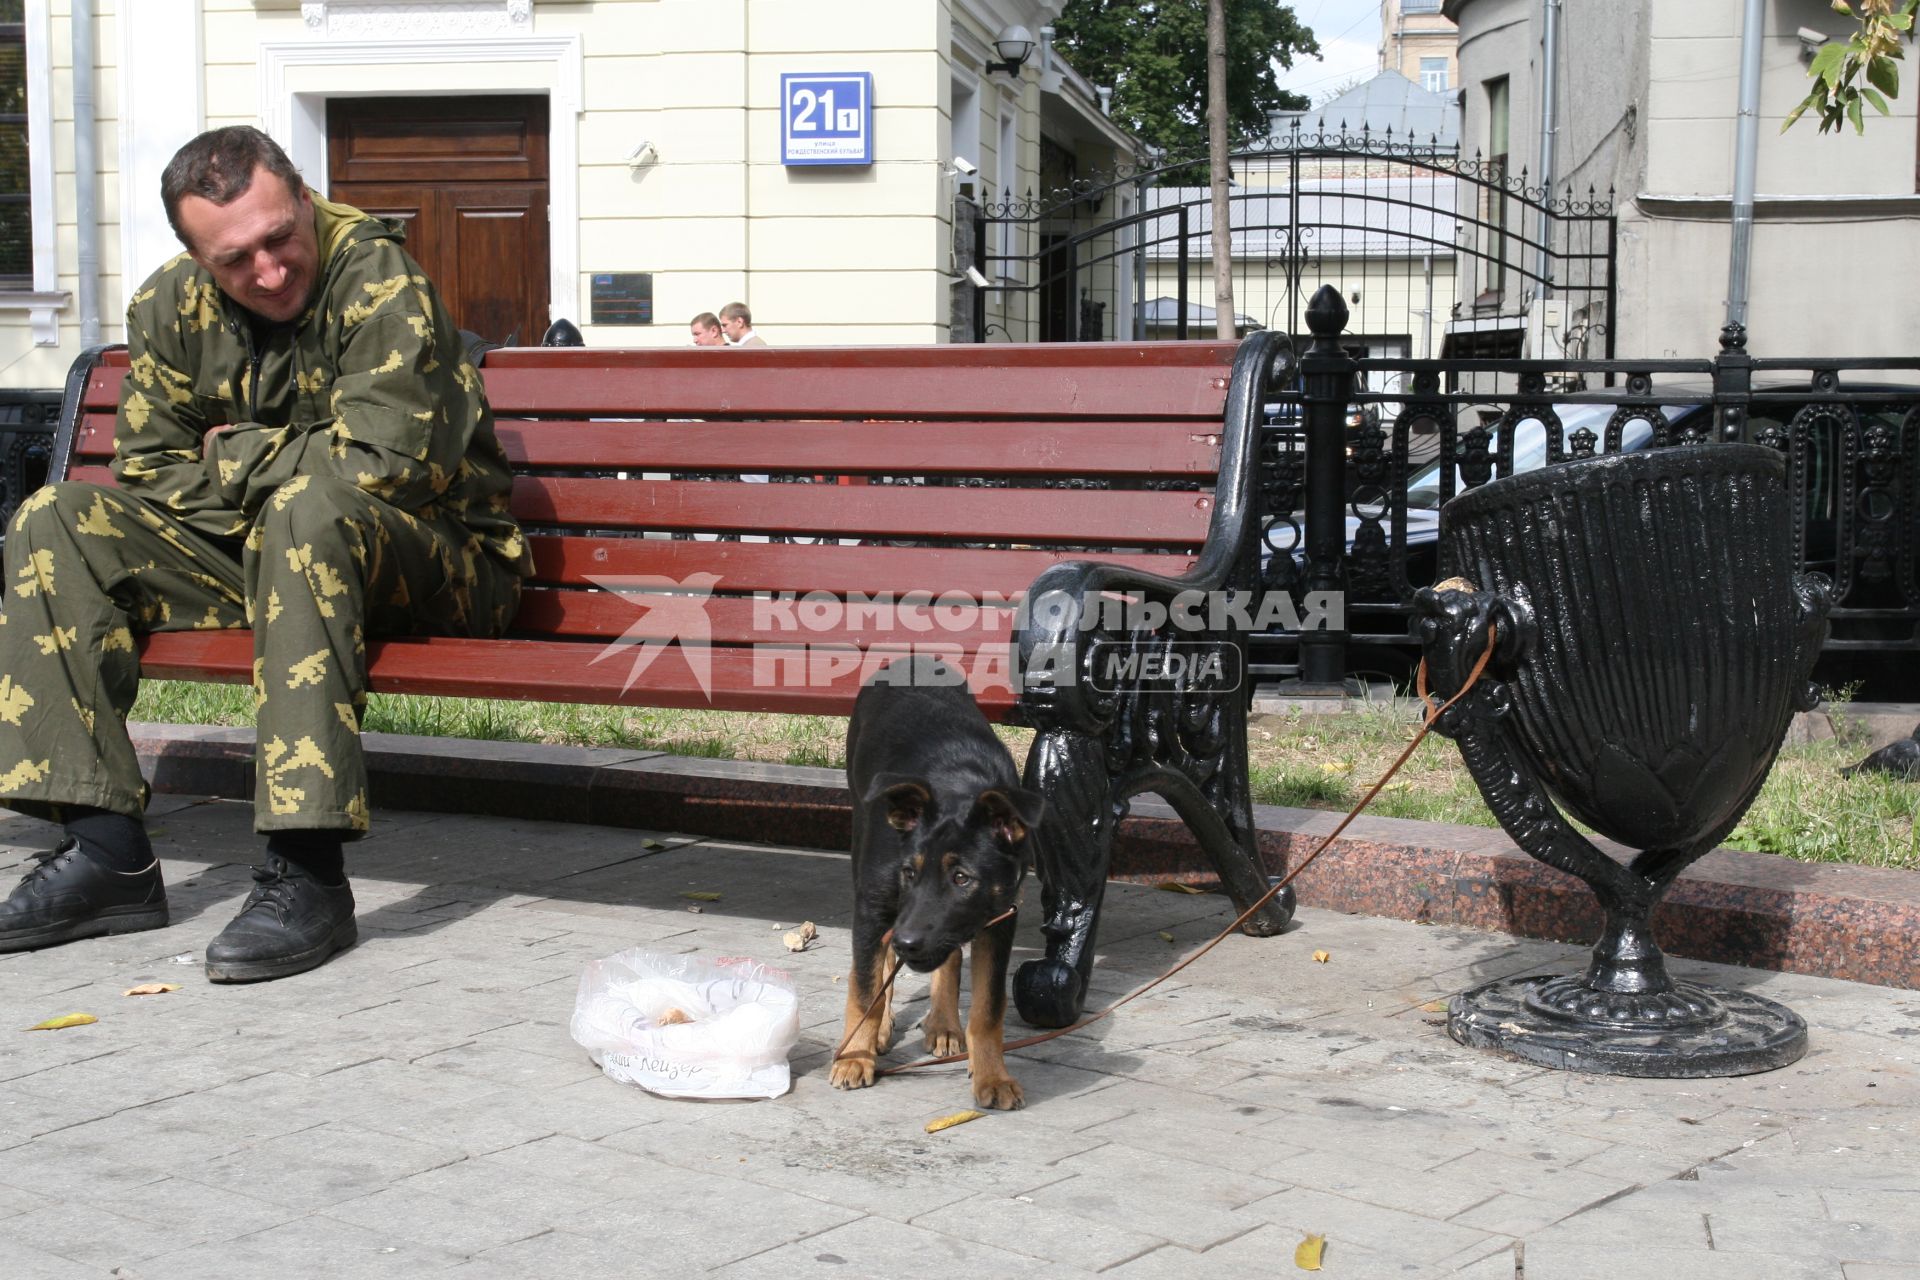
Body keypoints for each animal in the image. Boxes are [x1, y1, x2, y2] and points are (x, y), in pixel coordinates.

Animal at [829, 656, 1044, 1105]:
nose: (909, 943)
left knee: (948, 957)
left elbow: (988, 1007)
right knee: (882, 963)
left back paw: (944, 1023)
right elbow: (865, 987)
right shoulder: (875, 904)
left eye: (963, 878)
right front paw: (855, 1056)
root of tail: (912, 658)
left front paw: (992, 1076)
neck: (957, 786)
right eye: (908, 872)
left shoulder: (1000, 917)